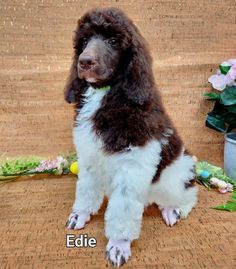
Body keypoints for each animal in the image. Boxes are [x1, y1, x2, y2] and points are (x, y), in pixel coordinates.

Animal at [64, 7, 197, 266]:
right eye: (83, 42)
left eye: (113, 41)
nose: (84, 62)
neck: (106, 94)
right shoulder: (88, 154)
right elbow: (85, 189)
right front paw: (80, 214)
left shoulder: (133, 165)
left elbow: (123, 210)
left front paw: (118, 245)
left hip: (179, 172)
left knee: (188, 194)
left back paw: (173, 210)